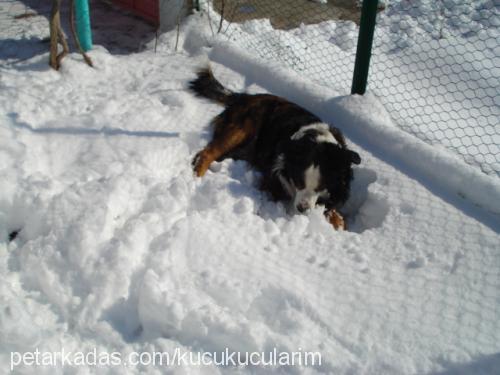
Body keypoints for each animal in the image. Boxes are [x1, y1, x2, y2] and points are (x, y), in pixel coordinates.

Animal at [188, 68, 360, 231]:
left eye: (320, 187)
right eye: (299, 183)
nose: (302, 209)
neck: (315, 139)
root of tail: (244, 97)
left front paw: (338, 221)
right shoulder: (271, 181)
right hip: (240, 129)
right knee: (208, 152)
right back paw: (197, 175)